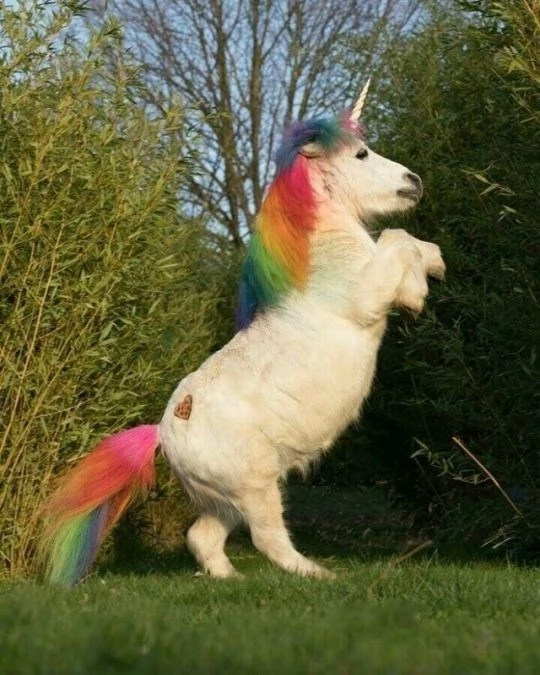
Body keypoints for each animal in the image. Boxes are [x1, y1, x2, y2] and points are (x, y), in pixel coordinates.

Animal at [40, 83, 445, 585]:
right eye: (362, 154)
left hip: (226, 501)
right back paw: (318, 576)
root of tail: (164, 433)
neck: (326, 258)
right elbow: (397, 238)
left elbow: (411, 246)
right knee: (268, 540)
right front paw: (421, 290)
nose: (415, 181)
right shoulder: (367, 297)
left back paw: (230, 580)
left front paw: (432, 269)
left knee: (202, 537)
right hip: (255, 490)